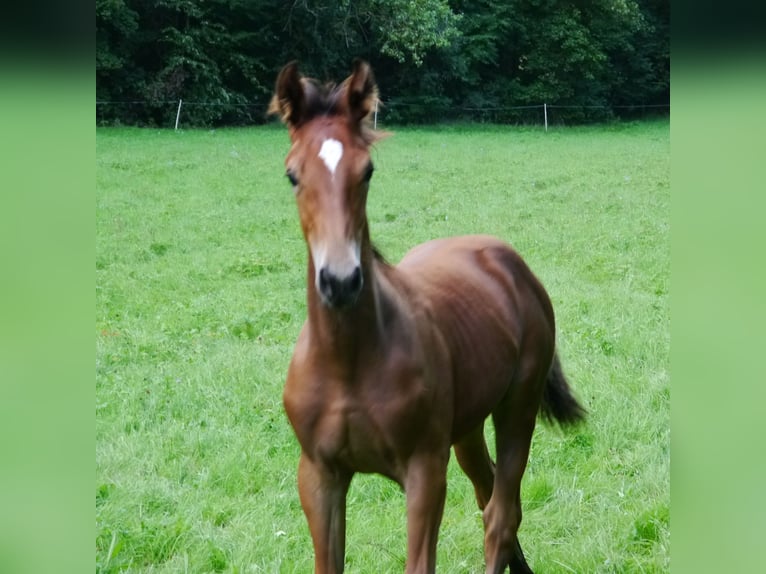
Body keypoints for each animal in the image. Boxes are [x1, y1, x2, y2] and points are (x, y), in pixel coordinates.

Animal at [268, 60, 584, 572]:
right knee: (488, 493)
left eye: (368, 171)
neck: (347, 362)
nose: (340, 281)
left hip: (517, 406)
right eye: (293, 175)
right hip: (468, 426)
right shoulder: (318, 475)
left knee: (502, 514)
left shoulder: (425, 471)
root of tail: (511, 263)